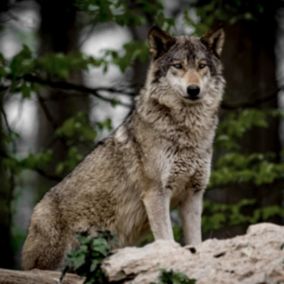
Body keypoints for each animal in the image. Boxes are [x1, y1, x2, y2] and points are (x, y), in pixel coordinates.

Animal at [21, 26, 224, 270]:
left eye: (202, 65)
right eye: (178, 65)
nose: (193, 89)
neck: (187, 130)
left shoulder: (193, 195)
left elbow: (196, 241)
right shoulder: (156, 193)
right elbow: (167, 239)